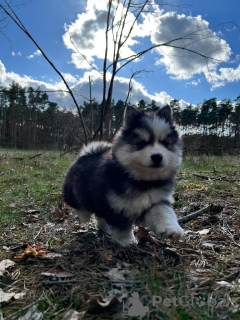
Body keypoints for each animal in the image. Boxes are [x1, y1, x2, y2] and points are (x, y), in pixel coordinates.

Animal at [62, 105, 184, 245]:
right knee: (78, 205)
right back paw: (85, 216)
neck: (143, 181)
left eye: (165, 143)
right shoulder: (116, 207)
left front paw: (172, 229)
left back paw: (103, 227)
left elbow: (164, 212)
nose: (157, 157)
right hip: (74, 192)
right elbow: (122, 227)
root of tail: (85, 154)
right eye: (141, 144)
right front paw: (128, 241)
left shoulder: (156, 201)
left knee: (99, 215)